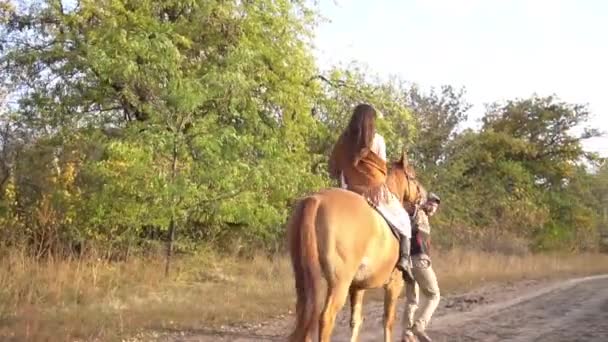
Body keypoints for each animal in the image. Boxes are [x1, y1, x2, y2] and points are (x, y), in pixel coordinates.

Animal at [286, 155, 420, 342]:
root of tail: (316, 199)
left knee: (304, 316)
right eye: (413, 177)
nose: (430, 198)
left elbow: (355, 321)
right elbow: (388, 320)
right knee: (326, 318)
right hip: (338, 283)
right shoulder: (394, 284)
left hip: (304, 280)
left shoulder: (357, 287)